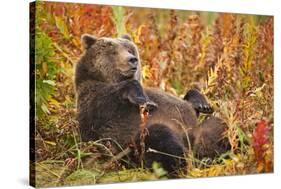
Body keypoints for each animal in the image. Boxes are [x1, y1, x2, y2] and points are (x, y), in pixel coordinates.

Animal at [74, 33, 230, 174]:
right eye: (113, 52)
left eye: (129, 49)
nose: (133, 60)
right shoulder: (96, 102)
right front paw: (146, 100)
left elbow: (189, 102)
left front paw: (203, 104)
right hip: (136, 144)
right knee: (160, 139)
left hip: (202, 131)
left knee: (218, 126)